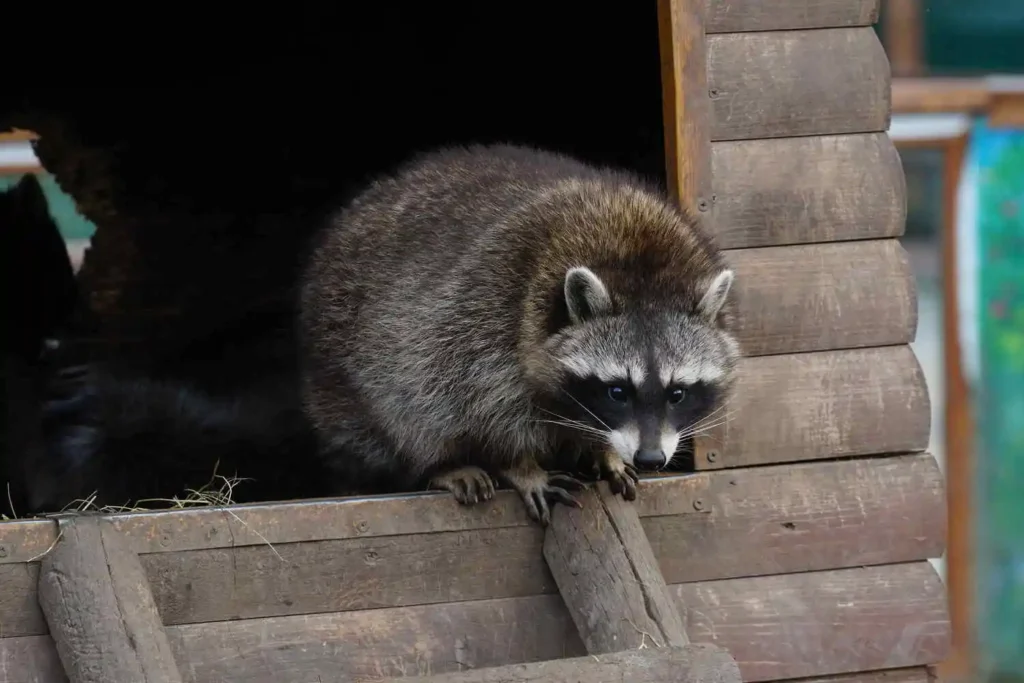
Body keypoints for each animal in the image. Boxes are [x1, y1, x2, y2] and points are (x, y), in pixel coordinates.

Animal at [299, 144, 739, 525]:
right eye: (617, 391)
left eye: (677, 393)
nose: (650, 459)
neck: (637, 258)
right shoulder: (486, 311)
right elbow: (481, 405)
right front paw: (520, 465)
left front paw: (604, 451)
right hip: (340, 361)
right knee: (400, 412)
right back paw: (440, 465)